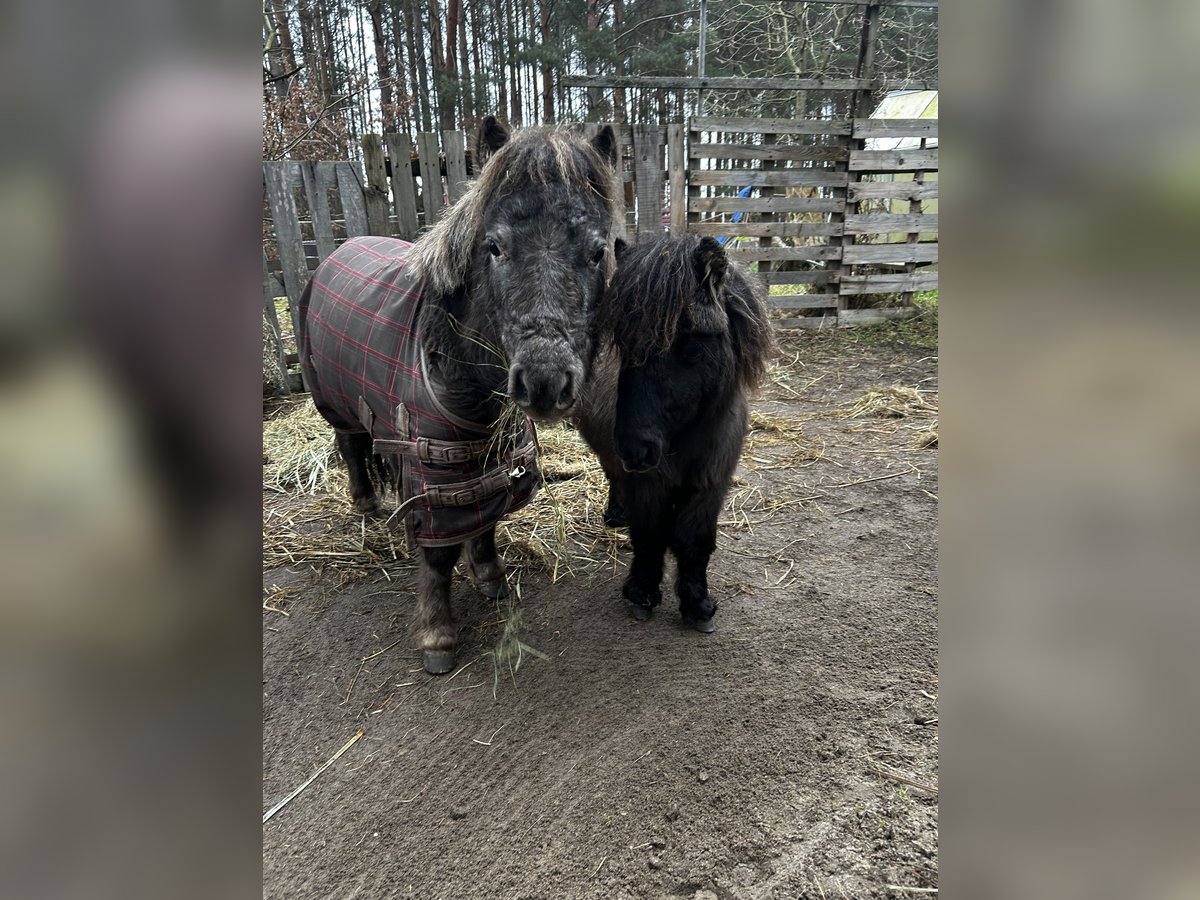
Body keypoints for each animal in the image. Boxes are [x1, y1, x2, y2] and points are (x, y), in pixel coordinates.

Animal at [298, 118, 620, 674]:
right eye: (494, 247)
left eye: (598, 251)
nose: (544, 382)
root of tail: (338, 251)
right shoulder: (433, 471)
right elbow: (437, 555)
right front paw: (437, 634)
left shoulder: (487, 459)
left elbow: (485, 519)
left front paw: (491, 577)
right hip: (335, 403)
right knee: (351, 445)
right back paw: (366, 505)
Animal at [575, 234, 775, 632]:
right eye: (621, 343)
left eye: (690, 344)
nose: (635, 450)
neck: (687, 438)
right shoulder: (648, 484)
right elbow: (650, 536)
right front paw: (642, 594)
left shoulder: (711, 484)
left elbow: (695, 540)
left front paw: (697, 604)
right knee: (613, 476)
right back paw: (616, 513)